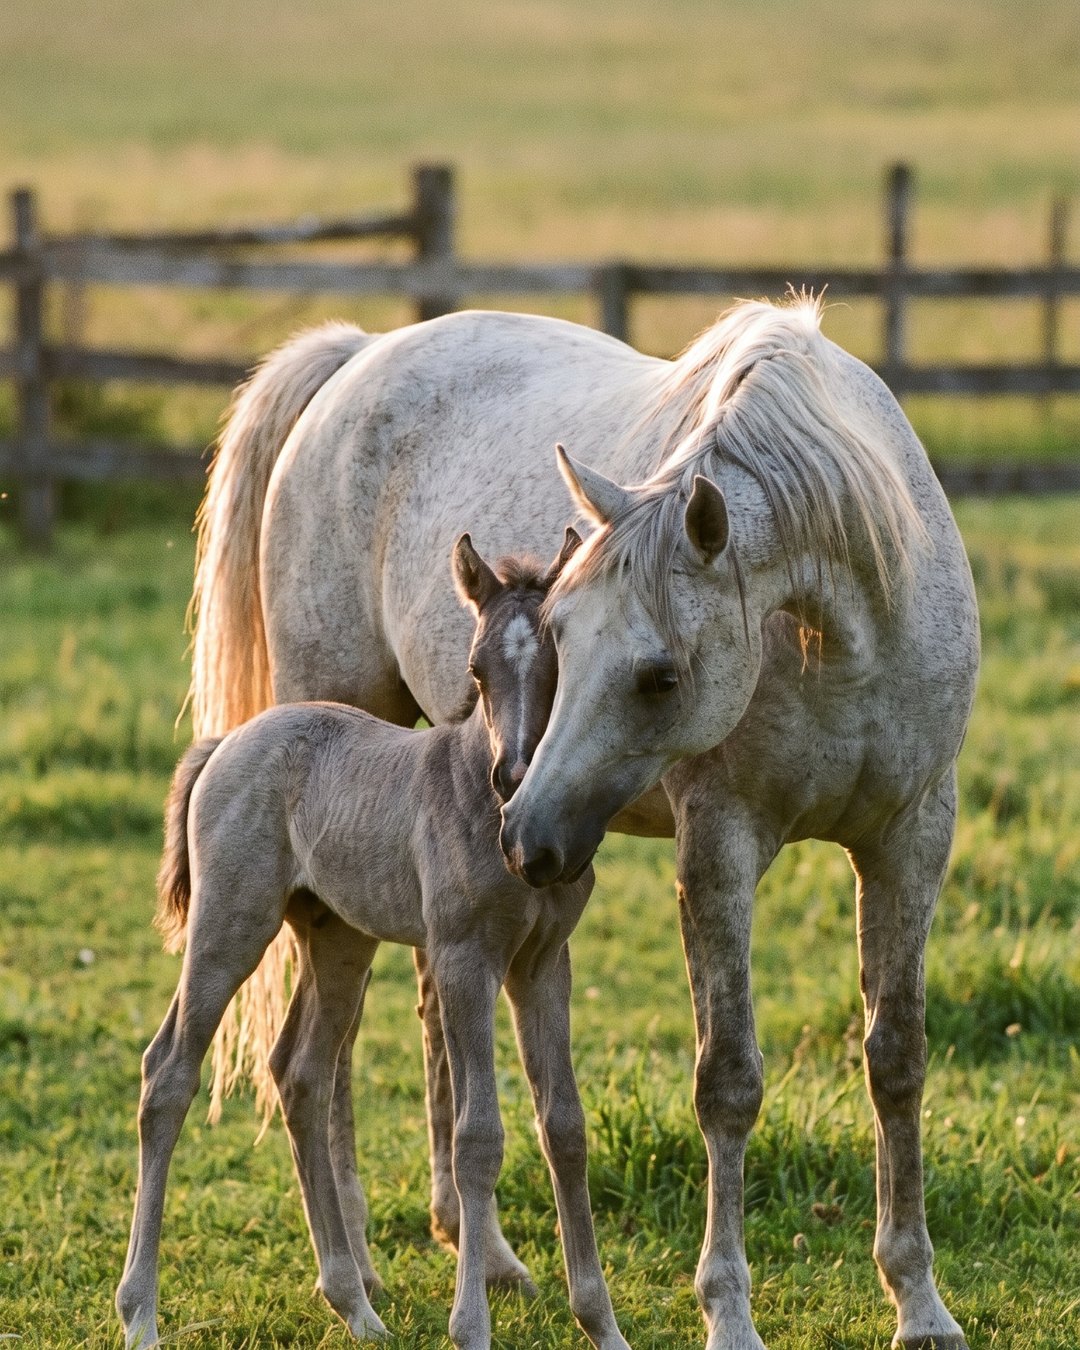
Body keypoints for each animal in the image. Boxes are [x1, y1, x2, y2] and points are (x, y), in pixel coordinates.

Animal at [118, 530, 631, 1350]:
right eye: (476, 670)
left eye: (557, 663)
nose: (515, 776)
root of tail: (226, 740)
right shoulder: (463, 958)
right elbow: (477, 1138)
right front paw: (471, 1325)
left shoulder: (545, 964)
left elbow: (566, 1127)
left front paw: (602, 1325)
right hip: (232, 921)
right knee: (168, 1071)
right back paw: (139, 1312)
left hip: (339, 942)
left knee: (299, 1071)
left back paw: (353, 1303)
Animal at [190, 295, 978, 1349]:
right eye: (561, 635)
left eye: (661, 676)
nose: (529, 832)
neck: (841, 627)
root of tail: (357, 355)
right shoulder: (721, 847)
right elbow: (729, 1081)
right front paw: (729, 1312)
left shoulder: (912, 839)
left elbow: (896, 1060)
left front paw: (919, 1301)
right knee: (333, 1053)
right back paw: (357, 1267)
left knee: (431, 1011)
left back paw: (477, 1249)